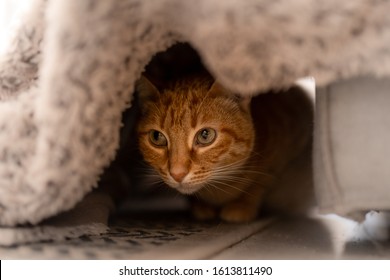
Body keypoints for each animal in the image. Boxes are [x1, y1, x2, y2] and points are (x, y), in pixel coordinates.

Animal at [136, 75, 314, 223]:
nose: (177, 174)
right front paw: (201, 207)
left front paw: (242, 206)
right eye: (157, 137)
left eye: (205, 135)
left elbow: (260, 183)